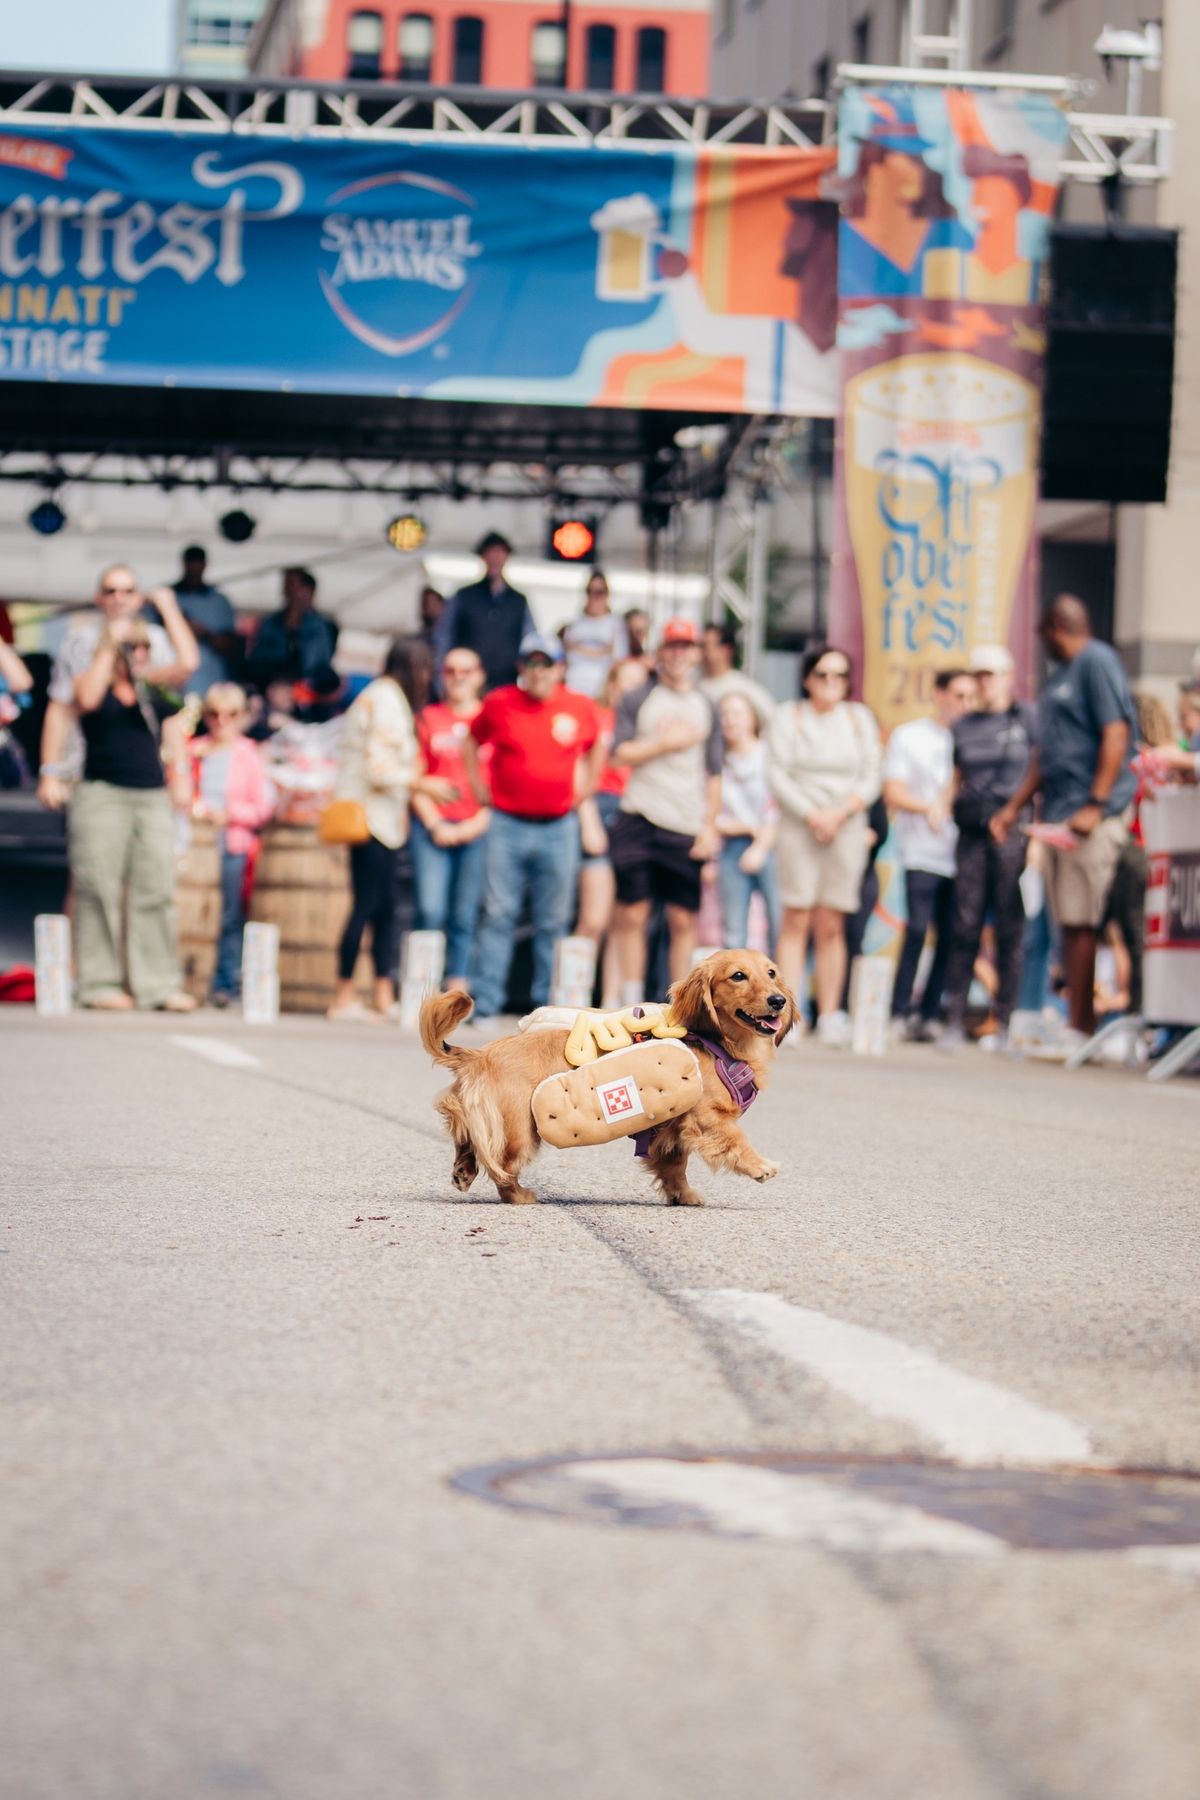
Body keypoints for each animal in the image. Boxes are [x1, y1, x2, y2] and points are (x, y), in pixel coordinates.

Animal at [422, 943, 798, 1209]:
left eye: (771, 973)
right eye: (738, 976)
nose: (778, 1000)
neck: (715, 1041)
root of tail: (480, 1055)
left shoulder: (673, 1129)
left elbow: (675, 1168)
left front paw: (683, 1195)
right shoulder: (707, 1118)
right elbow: (736, 1141)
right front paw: (759, 1166)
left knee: (468, 1137)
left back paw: (464, 1170)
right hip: (521, 1132)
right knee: (502, 1167)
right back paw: (519, 1194)